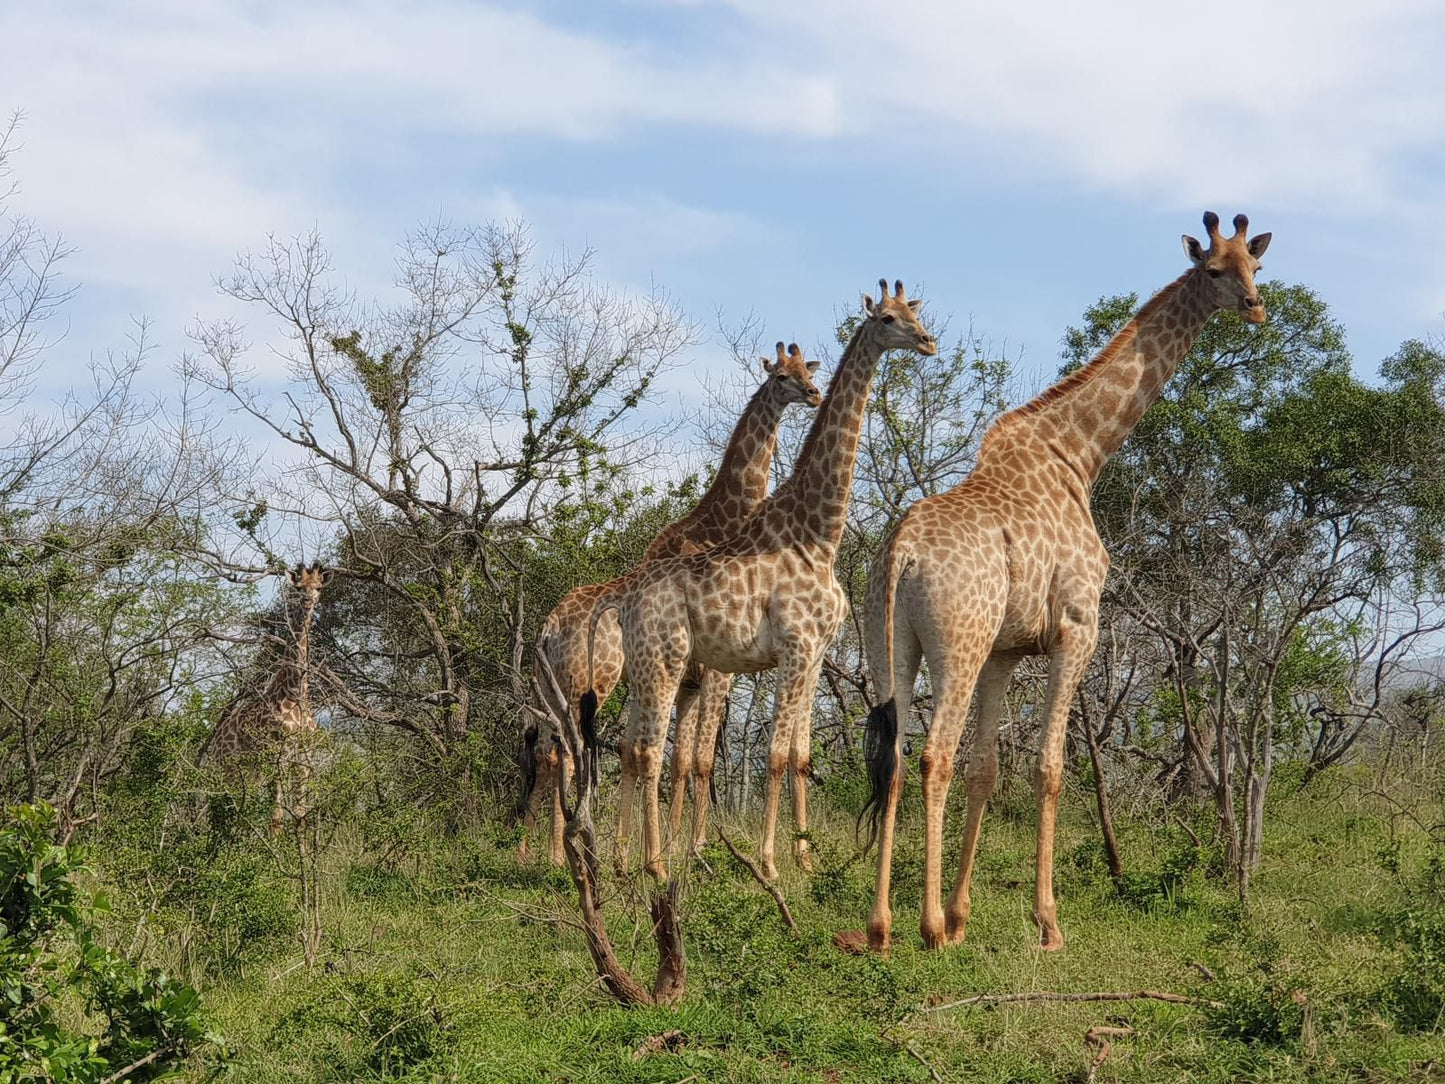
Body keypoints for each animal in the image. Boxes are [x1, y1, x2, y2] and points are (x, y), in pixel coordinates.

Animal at [202, 563, 333, 838]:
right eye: (298, 588)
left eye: (318, 588)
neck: (295, 693)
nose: (308, 602)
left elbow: (300, 815)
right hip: (228, 766)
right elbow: (276, 815)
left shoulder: (303, 759)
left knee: (239, 806)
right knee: (222, 808)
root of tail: (216, 740)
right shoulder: (278, 756)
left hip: (252, 770)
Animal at [583, 280, 936, 884]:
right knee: (649, 751)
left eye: (915, 312)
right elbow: (768, 757)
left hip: (651, 668)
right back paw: (656, 864)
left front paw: (806, 857)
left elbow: (799, 756)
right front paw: (768, 863)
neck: (818, 534)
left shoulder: (815, 654)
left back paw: (626, 857)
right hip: (666, 662)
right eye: (888, 319)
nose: (929, 342)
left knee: (634, 750)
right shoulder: (792, 649)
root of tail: (625, 597)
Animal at [849, 209, 1271, 948]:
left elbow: (987, 770)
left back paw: (881, 928)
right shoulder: (1077, 628)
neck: (1079, 454)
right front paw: (1044, 923)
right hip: (955, 644)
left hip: (888, 644)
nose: (1255, 307)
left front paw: (962, 916)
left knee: (896, 756)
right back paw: (924, 929)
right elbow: (1047, 768)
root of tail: (899, 552)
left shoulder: (1005, 650)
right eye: (1215, 269)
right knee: (932, 755)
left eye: (1257, 263)